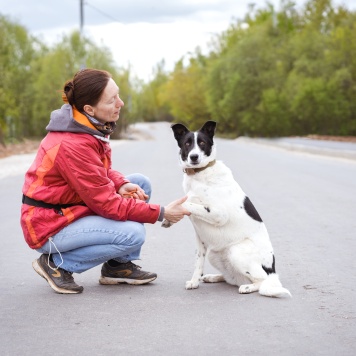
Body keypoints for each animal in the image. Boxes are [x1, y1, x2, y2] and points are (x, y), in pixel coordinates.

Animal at [163, 121, 290, 298]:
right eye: (187, 144)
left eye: (202, 143)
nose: (194, 157)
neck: (200, 174)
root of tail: (273, 273)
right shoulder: (200, 238)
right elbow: (198, 262)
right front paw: (195, 281)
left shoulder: (219, 214)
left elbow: (187, 203)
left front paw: (173, 211)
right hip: (214, 254)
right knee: (233, 278)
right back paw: (213, 277)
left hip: (236, 252)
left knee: (260, 281)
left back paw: (248, 287)